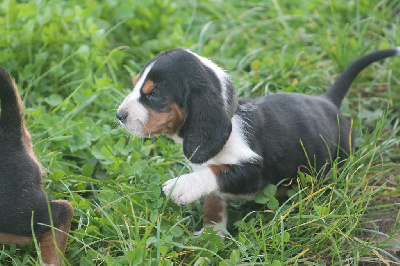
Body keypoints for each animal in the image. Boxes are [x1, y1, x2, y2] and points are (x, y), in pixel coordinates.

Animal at [115, 46, 400, 236]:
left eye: (153, 95)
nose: (119, 115)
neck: (230, 118)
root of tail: (328, 101)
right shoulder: (213, 182)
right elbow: (213, 204)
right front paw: (211, 236)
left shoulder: (254, 173)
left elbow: (216, 172)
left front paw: (182, 186)